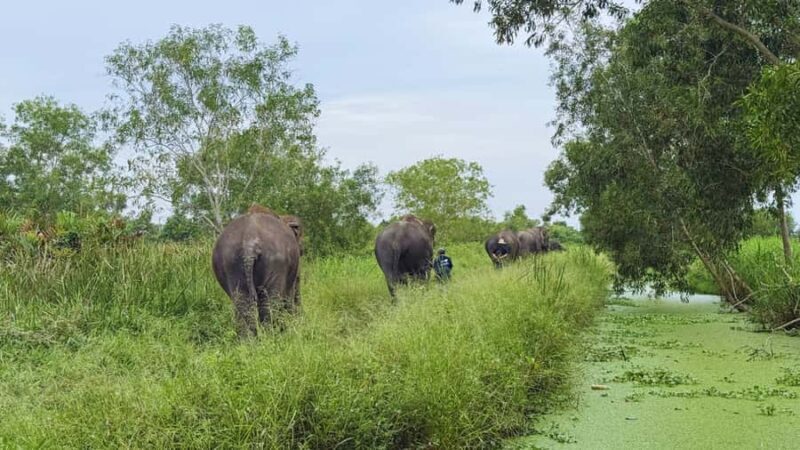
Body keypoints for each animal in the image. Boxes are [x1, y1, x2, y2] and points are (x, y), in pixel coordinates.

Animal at [212, 204, 302, 337]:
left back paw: (250, 340)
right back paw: (270, 337)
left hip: (230, 262)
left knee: (242, 304)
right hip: (276, 262)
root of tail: (249, 245)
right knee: (269, 302)